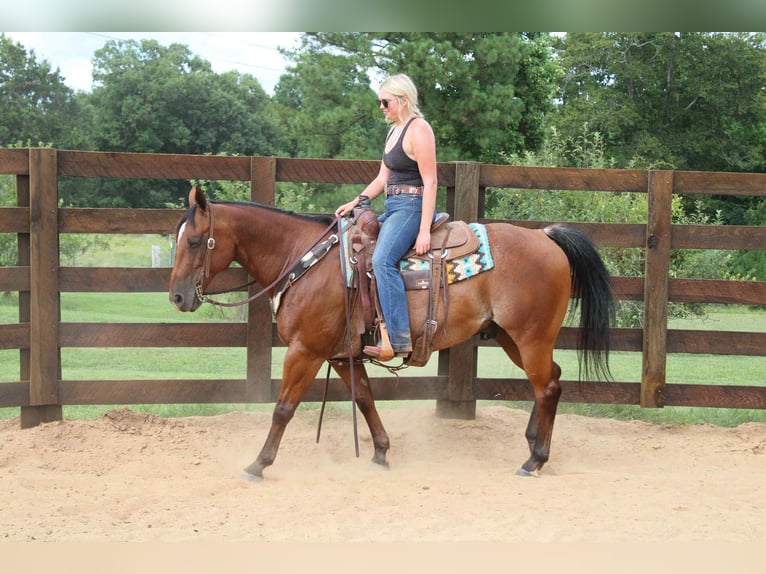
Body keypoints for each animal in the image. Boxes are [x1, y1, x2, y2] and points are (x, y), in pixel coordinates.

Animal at [169, 186, 613, 479]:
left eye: (196, 241)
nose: (177, 296)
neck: (305, 260)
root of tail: (544, 236)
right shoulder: (341, 355)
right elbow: (365, 399)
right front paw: (381, 452)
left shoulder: (306, 351)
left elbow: (283, 408)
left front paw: (259, 463)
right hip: (510, 337)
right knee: (551, 380)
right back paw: (532, 442)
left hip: (531, 336)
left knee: (547, 387)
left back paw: (535, 459)